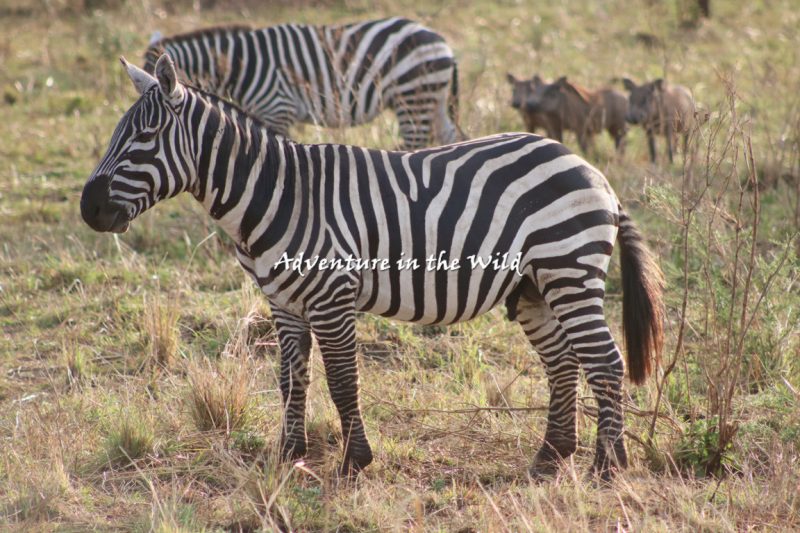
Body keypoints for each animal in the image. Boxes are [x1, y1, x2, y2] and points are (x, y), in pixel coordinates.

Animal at [83, 56, 668, 480]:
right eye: (116, 135)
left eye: (144, 138)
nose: (89, 209)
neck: (278, 194)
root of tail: (590, 170)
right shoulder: (284, 301)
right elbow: (290, 380)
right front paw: (288, 456)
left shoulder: (330, 296)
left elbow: (343, 382)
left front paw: (353, 463)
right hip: (534, 288)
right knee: (563, 364)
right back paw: (551, 458)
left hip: (569, 271)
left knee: (604, 362)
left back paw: (607, 467)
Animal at [141, 17, 460, 150]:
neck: (238, 66)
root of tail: (441, 40)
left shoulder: (278, 109)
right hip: (432, 100)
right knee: (451, 137)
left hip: (412, 96)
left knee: (415, 145)